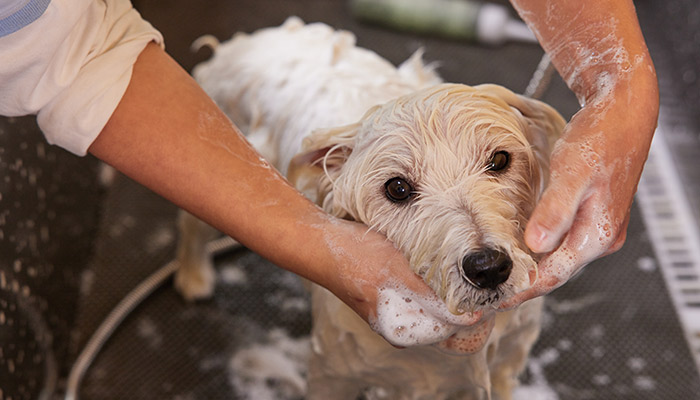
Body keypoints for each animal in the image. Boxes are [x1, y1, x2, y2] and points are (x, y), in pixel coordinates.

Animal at [175, 18, 564, 400]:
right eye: (397, 188)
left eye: (499, 160)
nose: (488, 267)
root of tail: (253, 39)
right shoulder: (333, 375)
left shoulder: (509, 358)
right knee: (192, 224)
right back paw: (193, 277)